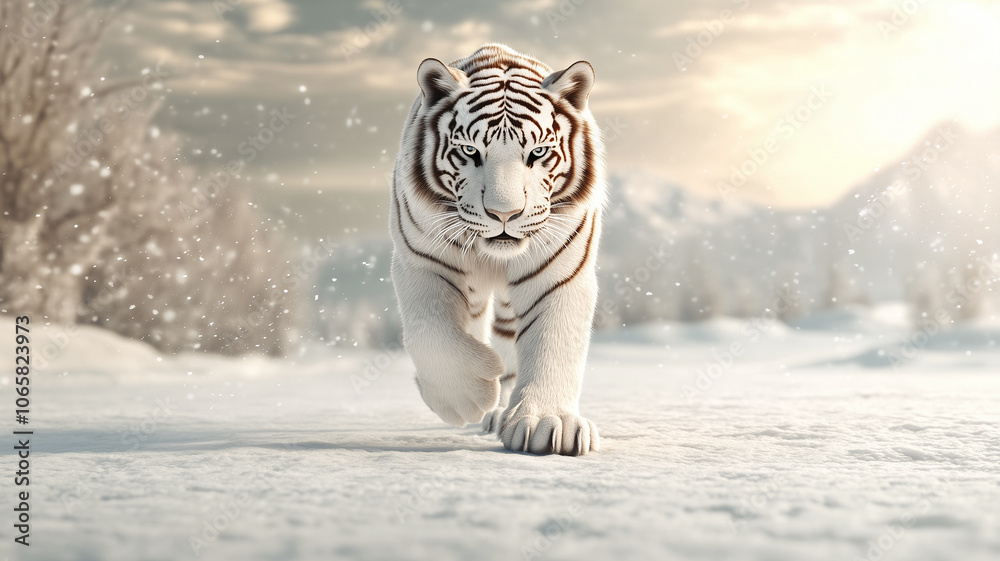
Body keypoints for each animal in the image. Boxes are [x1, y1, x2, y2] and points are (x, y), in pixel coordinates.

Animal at [389, 43, 605, 456]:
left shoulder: (559, 273)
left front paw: (548, 423)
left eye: (538, 152)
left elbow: (555, 343)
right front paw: (466, 397)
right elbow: (430, 333)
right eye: (470, 151)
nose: (504, 213)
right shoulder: (423, 261)